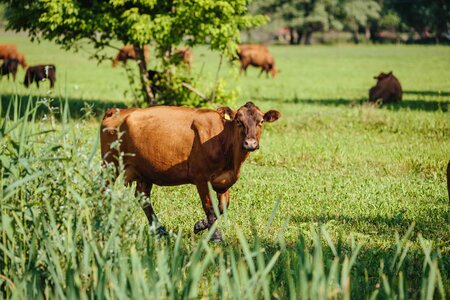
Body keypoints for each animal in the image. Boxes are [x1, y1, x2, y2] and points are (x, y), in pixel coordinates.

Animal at [101, 102, 282, 240]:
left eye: (261, 121)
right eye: (239, 121)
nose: (250, 143)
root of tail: (117, 111)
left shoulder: (224, 181)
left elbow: (222, 207)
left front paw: (201, 225)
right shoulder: (201, 178)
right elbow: (209, 208)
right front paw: (215, 235)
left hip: (144, 171)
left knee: (143, 198)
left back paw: (159, 230)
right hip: (110, 163)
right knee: (104, 189)